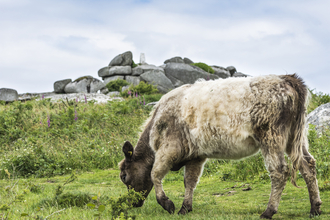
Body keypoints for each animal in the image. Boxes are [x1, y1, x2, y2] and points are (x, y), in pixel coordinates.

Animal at [118, 75, 322, 219]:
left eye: (124, 176)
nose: (132, 204)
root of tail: (286, 78)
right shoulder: (196, 155)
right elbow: (189, 181)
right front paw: (185, 208)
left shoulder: (170, 148)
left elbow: (155, 174)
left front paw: (167, 204)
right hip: (295, 138)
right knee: (308, 165)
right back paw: (315, 208)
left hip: (271, 137)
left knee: (279, 171)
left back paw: (268, 211)